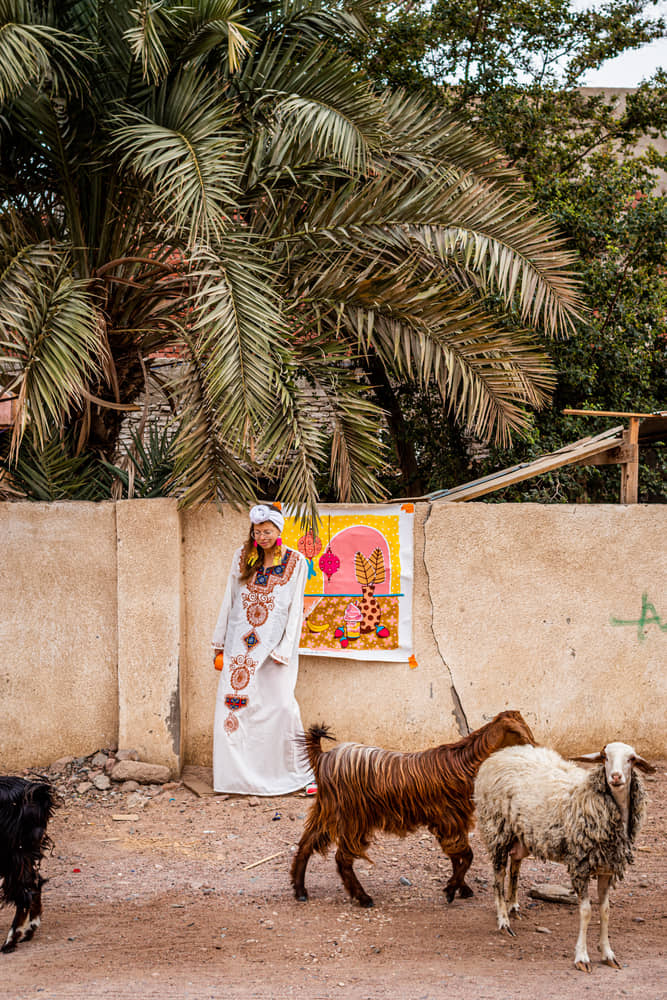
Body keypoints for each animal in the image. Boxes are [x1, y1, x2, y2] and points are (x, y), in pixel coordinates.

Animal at [0, 772, 56, 952]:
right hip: (23, 854)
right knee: (34, 883)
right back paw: (30, 930)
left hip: (11, 855)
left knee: (25, 892)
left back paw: (10, 941)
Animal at [290, 712, 536, 908]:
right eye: (523, 738)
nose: (536, 750)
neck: (463, 764)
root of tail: (323, 757)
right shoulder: (449, 820)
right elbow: (467, 856)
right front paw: (451, 890)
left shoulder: (452, 823)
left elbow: (456, 857)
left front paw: (461, 888)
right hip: (353, 817)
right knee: (342, 858)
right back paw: (363, 897)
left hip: (328, 811)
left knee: (306, 845)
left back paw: (300, 890)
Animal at [474, 744, 656, 968]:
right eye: (604, 757)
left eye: (631, 759)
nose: (615, 776)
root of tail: (502, 753)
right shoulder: (580, 865)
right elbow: (586, 912)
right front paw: (582, 957)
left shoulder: (607, 867)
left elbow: (605, 911)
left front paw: (607, 953)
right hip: (497, 828)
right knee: (499, 876)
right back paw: (504, 921)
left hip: (522, 834)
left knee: (515, 865)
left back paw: (513, 906)